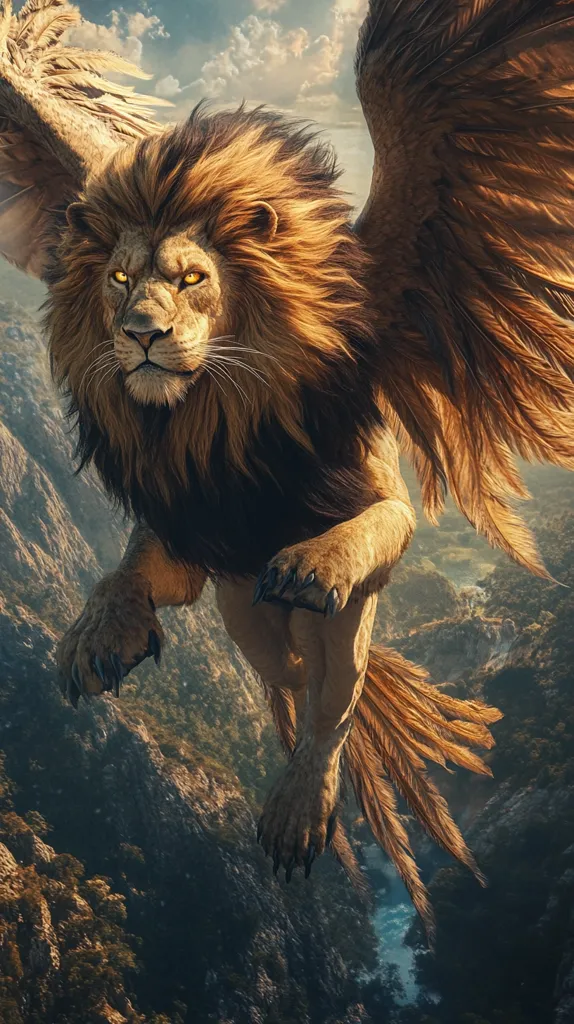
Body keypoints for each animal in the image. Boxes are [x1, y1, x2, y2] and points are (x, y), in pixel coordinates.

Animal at [2, 0, 574, 932]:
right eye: (118, 278)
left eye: (191, 278)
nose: (140, 335)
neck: (207, 410)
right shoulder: (192, 524)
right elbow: (132, 565)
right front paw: (97, 632)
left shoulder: (372, 493)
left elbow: (371, 525)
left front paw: (314, 561)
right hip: (244, 616)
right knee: (288, 677)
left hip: (341, 627)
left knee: (333, 704)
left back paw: (301, 806)